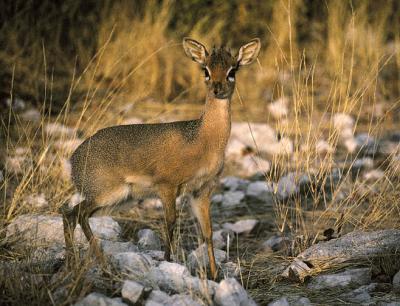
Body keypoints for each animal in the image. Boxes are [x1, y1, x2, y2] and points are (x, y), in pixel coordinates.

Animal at [62, 37, 260, 278]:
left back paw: (73, 264)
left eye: (233, 70)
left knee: (69, 214)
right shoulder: (167, 187)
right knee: (76, 214)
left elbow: (208, 233)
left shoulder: (201, 191)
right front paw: (167, 264)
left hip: (118, 199)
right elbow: (170, 224)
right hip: (106, 194)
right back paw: (103, 266)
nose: (217, 88)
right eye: (206, 69)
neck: (203, 139)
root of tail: (73, 160)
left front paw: (214, 275)